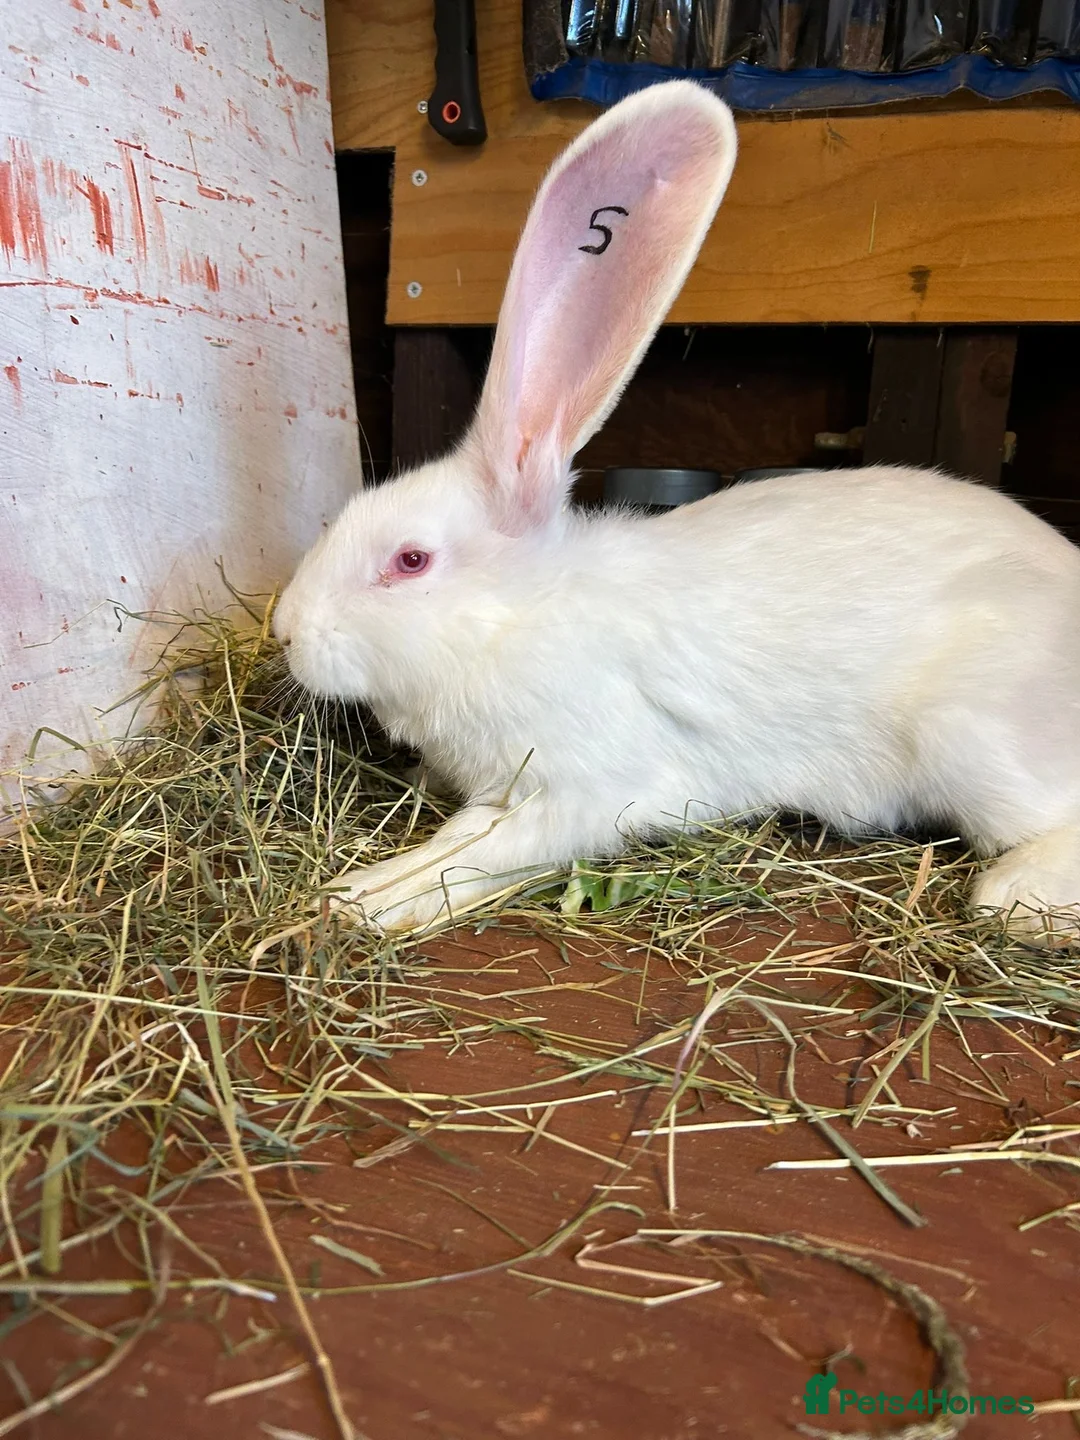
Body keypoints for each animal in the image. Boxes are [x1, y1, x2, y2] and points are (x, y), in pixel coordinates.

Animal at [274, 79, 1080, 944]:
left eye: (410, 560)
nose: (285, 632)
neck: (520, 618)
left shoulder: (582, 786)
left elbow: (479, 846)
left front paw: (362, 897)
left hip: (975, 742)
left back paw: (1013, 898)